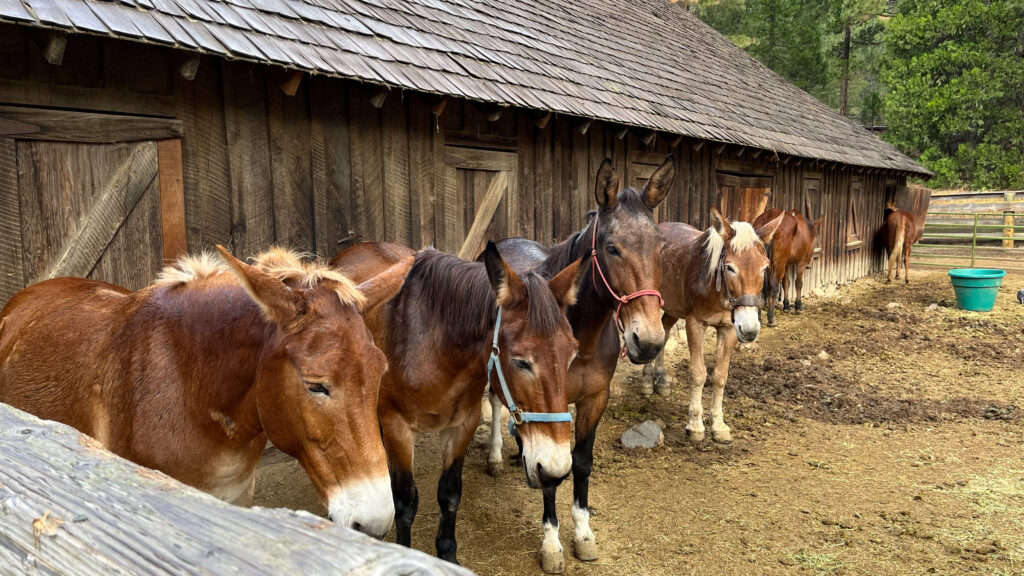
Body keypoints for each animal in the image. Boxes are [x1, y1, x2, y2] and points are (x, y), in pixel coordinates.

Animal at [331, 239, 581, 561]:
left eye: (572, 353)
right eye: (521, 362)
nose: (555, 471)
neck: (431, 346)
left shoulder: (463, 425)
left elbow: (449, 495)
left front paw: (447, 553)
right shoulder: (398, 427)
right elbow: (405, 502)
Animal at [489, 154, 675, 569]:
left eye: (659, 247)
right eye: (612, 247)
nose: (649, 341)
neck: (581, 337)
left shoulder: (594, 400)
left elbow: (581, 463)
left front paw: (584, 535)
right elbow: (552, 473)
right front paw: (552, 545)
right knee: (493, 405)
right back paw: (494, 455)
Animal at [638, 208, 782, 440]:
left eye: (764, 267)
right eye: (730, 268)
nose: (750, 329)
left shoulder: (730, 328)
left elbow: (720, 376)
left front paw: (719, 424)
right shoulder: (695, 323)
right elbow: (698, 373)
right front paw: (695, 425)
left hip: (672, 308)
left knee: (665, 332)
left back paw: (661, 380)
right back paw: (646, 382)